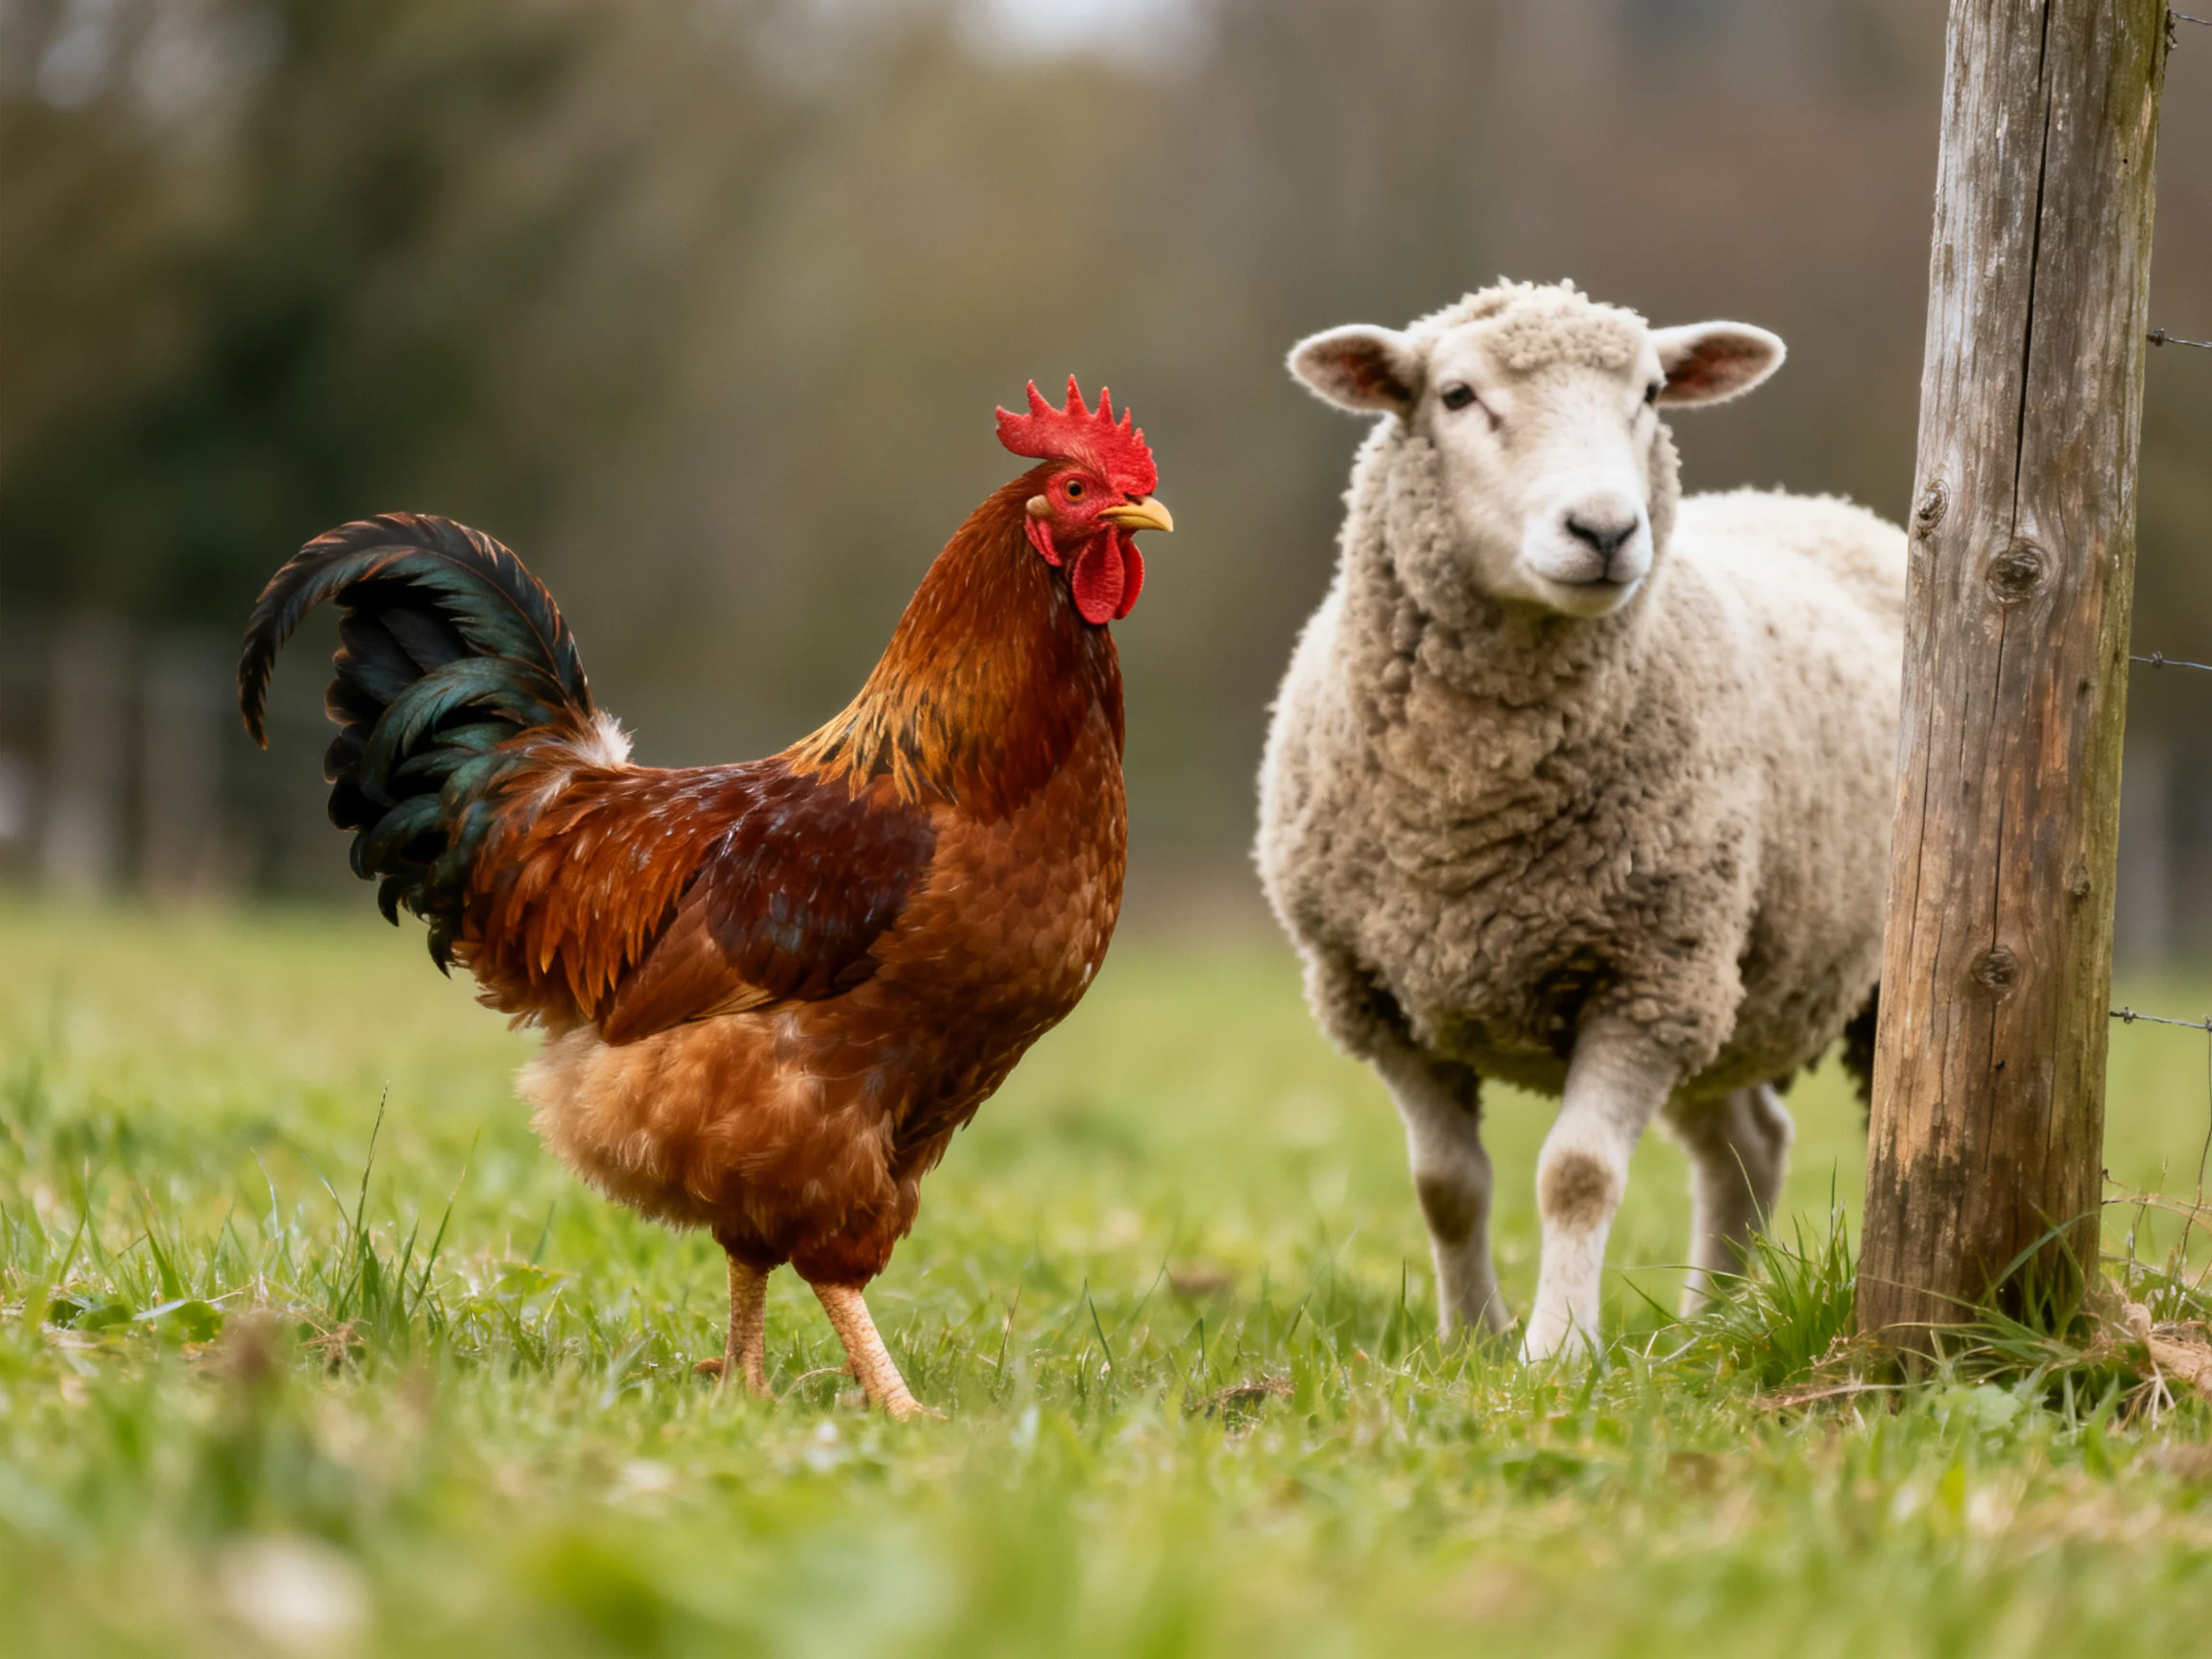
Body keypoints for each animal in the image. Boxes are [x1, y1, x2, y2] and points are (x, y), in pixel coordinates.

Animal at [1256, 280, 1904, 1360]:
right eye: (1456, 395)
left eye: (1651, 392)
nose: (1605, 531)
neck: (1465, 812)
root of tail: (1820, 506)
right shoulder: (1375, 993)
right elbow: (1445, 1187)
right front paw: (1471, 1341)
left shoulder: (1646, 979)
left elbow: (1577, 1175)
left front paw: (1557, 1354)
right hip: (1726, 982)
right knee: (1748, 1146)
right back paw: (1708, 1327)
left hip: (1793, 974)